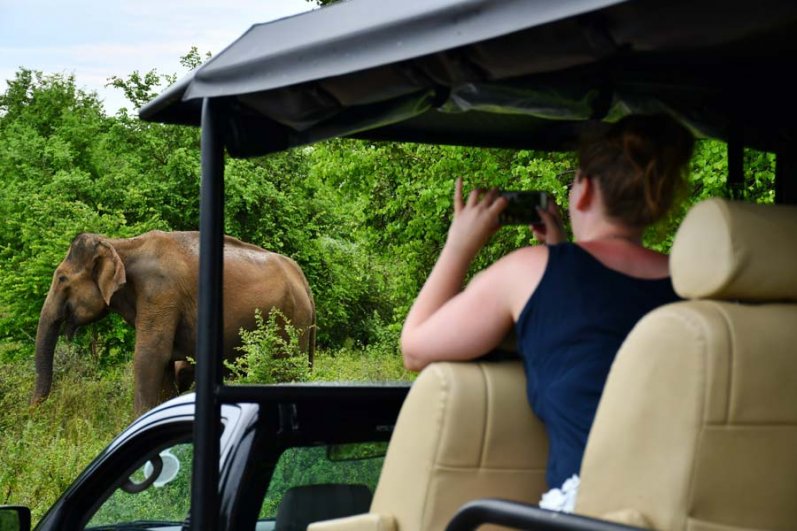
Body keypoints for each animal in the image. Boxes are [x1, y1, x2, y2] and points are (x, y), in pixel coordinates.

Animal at [32, 231, 316, 414]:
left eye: (61, 279)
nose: (34, 412)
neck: (120, 245)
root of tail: (304, 280)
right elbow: (165, 362)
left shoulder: (160, 293)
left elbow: (150, 356)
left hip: (292, 321)